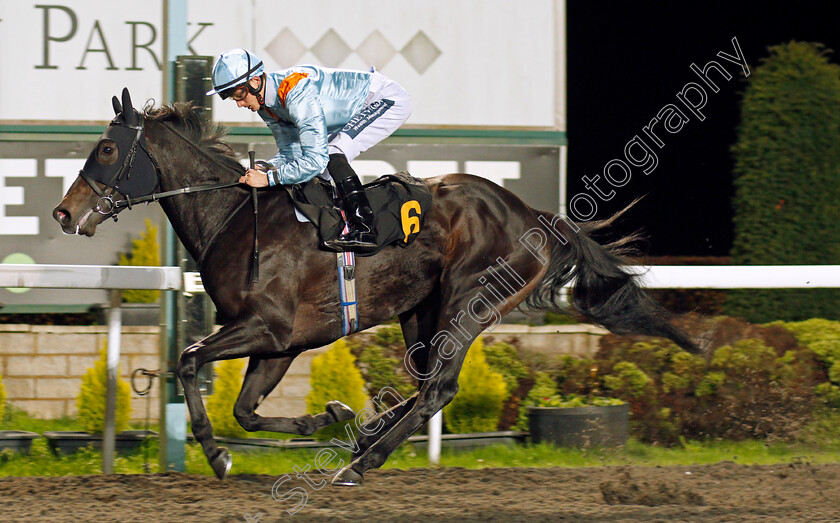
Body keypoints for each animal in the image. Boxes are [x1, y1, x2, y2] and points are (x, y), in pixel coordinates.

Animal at [49, 90, 700, 488]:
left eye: (106, 148)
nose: (63, 212)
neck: (233, 215)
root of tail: (534, 215)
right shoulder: (281, 343)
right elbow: (246, 410)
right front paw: (328, 416)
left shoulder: (268, 328)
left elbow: (188, 362)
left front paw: (218, 455)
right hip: (421, 311)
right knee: (425, 384)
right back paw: (363, 436)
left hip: (468, 303)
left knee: (438, 388)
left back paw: (363, 462)